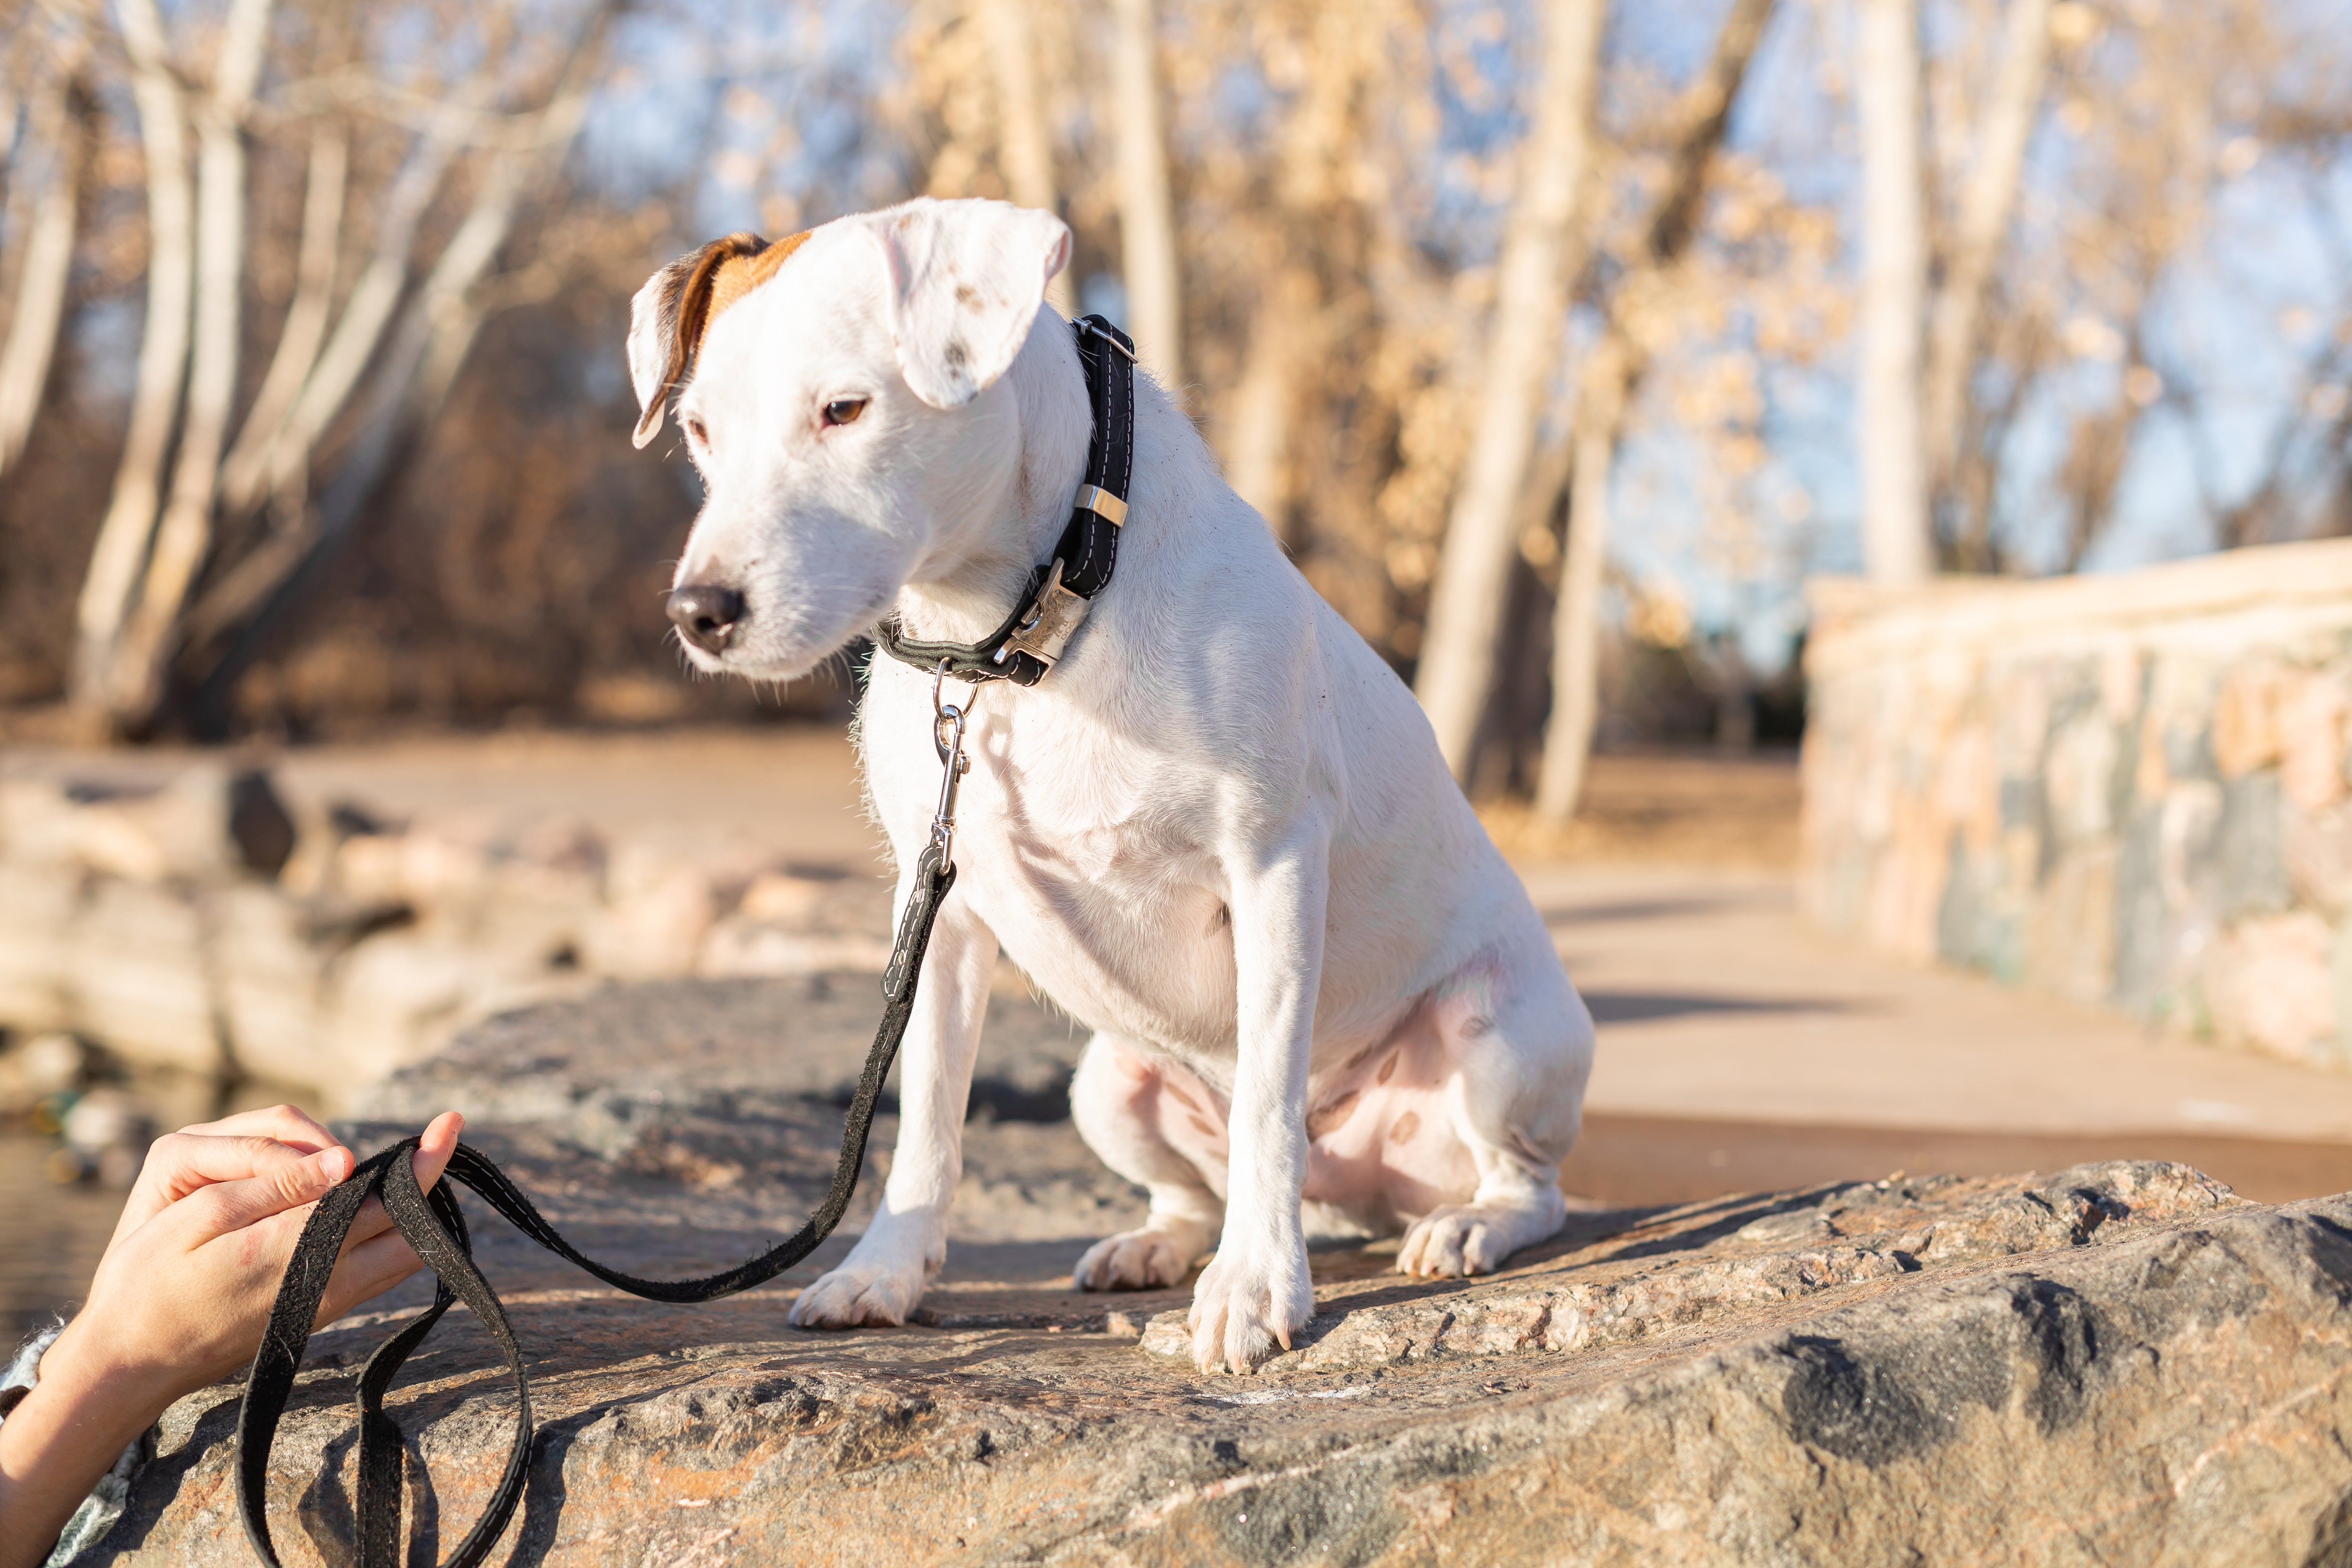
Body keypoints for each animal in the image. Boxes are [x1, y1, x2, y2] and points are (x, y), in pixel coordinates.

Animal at [626, 192, 1599, 1373]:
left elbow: (1266, 1099)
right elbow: (928, 1117)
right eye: (698, 430)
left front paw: (1258, 1285)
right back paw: (1158, 1243)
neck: (1024, 623)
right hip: (1107, 1084)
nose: (700, 611)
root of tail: (1352, 1187)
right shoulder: (939, 909)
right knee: (1191, 1188)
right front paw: (885, 1271)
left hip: (1493, 1035)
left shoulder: (1272, 864)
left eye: (844, 409)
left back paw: (1466, 1223)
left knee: (1526, 1182)